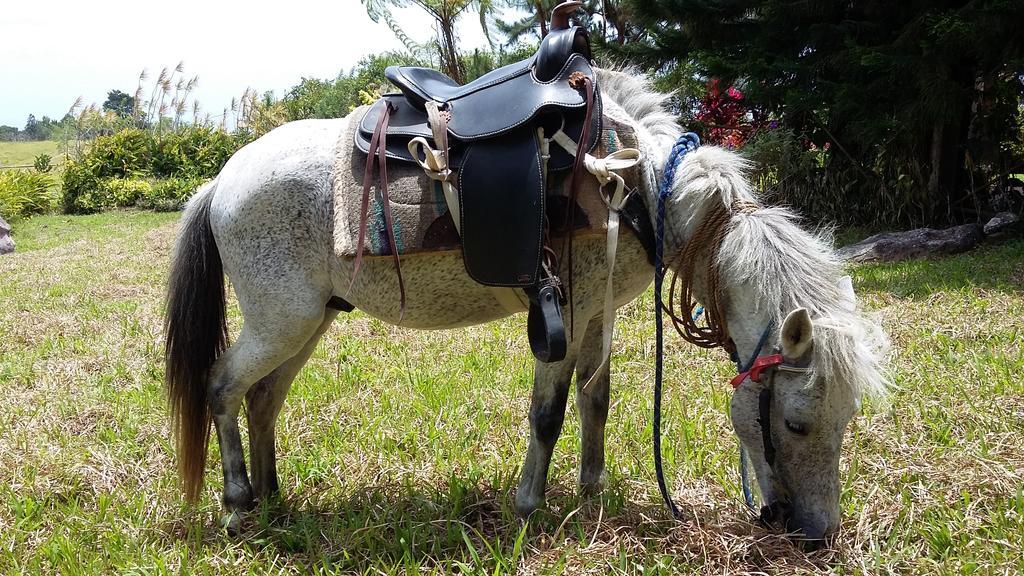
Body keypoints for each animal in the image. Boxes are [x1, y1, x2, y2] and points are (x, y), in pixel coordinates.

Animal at [163, 68, 884, 541]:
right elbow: (549, 413)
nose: (816, 533)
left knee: (263, 399)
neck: (641, 187)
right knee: (222, 387)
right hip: (278, 321)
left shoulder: (598, 313)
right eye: (796, 423)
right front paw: (530, 504)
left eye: (846, 418)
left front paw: (592, 492)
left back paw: (273, 498)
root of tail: (222, 179)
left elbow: (597, 399)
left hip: (305, 322)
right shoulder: (565, 310)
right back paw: (237, 502)